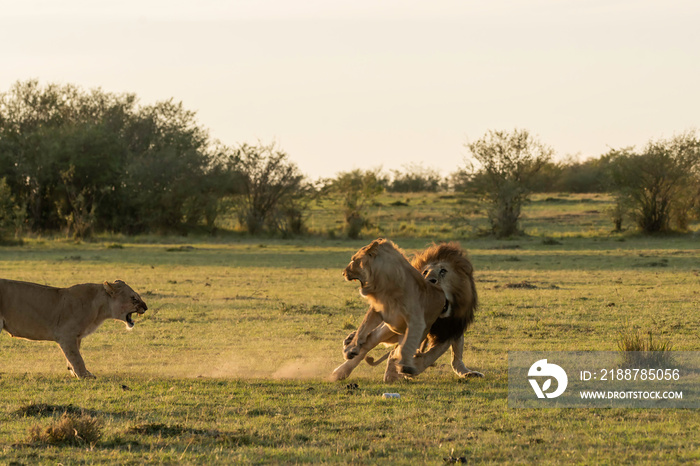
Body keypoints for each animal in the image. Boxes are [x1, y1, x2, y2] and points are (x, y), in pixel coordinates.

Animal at [0, 278, 148, 376]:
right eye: (134, 298)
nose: (146, 307)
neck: (100, 309)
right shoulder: (66, 335)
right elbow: (77, 358)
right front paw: (84, 376)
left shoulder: (76, 337)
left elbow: (73, 356)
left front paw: (74, 372)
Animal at [332, 242, 484, 380]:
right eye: (425, 272)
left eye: (443, 271)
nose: (429, 280)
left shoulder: (452, 328)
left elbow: (433, 354)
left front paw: (403, 368)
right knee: (371, 338)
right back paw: (342, 367)